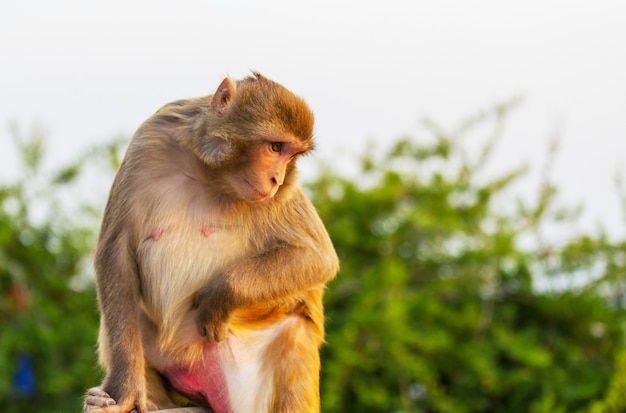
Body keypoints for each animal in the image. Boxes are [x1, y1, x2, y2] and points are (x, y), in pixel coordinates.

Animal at [83, 72, 338, 410]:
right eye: (275, 147)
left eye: (291, 155)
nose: (277, 179)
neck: (209, 172)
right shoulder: (149, 138)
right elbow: (117, 250)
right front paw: (125, 390)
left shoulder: (281, 196)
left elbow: (317, 257)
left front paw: (218, 296)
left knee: (293, 332)